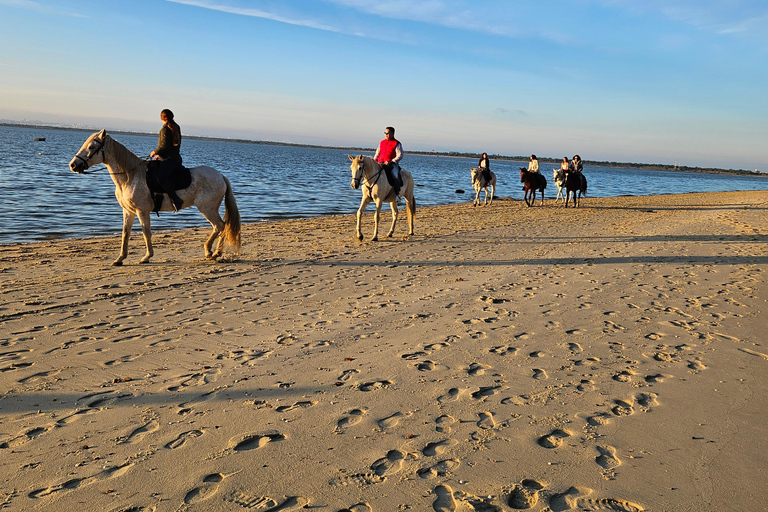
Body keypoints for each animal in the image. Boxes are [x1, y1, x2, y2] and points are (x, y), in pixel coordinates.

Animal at [71, 130, 242, 266]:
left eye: (91, 147)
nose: (73, 165)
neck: (130, 176)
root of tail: (221, 176)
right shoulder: (128, 211)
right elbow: (125, 233)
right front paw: (119, 259)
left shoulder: (142, 211)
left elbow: (146, 233)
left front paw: (146, 257)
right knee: (221, 226)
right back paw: (212, 252)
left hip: (207, 208)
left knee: (220, 225)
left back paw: (215, 252)